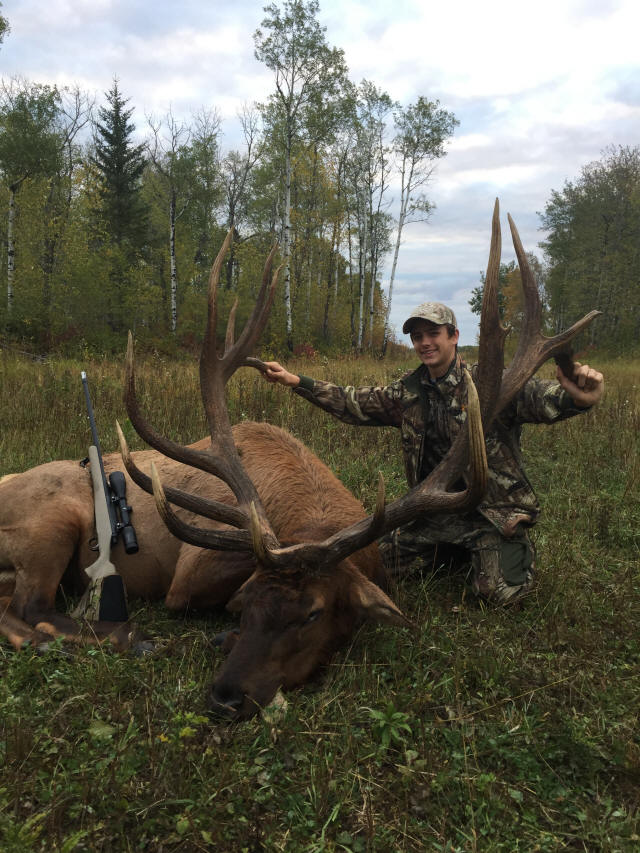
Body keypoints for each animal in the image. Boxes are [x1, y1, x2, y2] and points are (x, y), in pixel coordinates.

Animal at [0, 202, 598, 720]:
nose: (225, 697)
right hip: (51, 523)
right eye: (248, 603)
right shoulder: (187, 577)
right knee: (29, 610)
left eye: (313, 612)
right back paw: (124, 637)